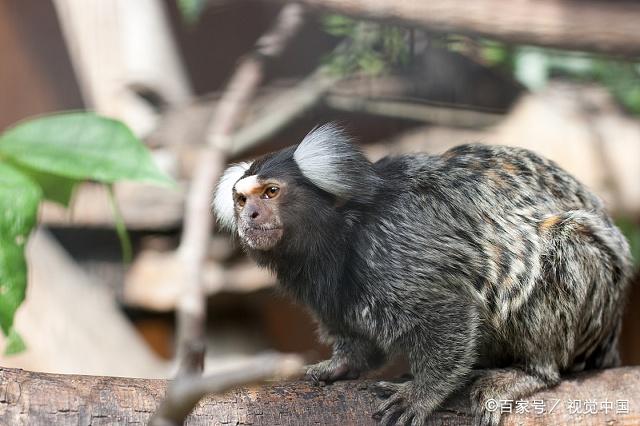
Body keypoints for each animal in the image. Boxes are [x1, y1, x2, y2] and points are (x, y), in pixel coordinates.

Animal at [214, 124, 632, 426]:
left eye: (270, 192)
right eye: (241, 199)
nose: (250, 215)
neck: (343, 231)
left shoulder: (397, 246)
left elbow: (450, 314)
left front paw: (422, 393)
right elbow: (355, 339)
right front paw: (341, 364)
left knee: (559, 248)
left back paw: (528, 371)